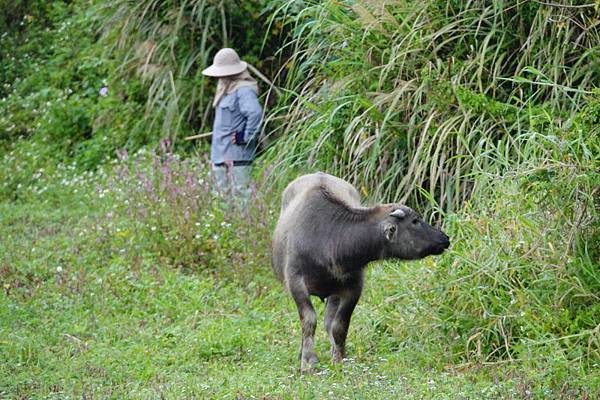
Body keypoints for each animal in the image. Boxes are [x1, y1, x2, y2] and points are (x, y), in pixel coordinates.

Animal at [272, 172, 450, 372]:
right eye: (415, 221)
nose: (444, 238)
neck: (327, 239)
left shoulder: (353, 288)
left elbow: (339, 325)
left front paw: (339, 358)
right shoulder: (296, 283)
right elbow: (309, 320)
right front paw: (308, 361)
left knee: (328, 321)